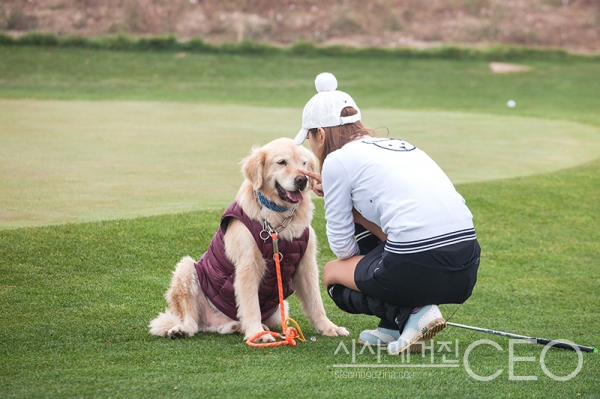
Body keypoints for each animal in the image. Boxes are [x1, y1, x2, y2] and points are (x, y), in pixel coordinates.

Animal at [149, 138, 346, 344]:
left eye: (304, 163)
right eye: (282, 162)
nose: (302, 180)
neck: (278, 220)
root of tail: (214, 323)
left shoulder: (306, 264)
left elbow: (316, 302)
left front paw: (329, 327)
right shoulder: (248, 264)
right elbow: (251, 305)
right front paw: (257, 333)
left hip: (279, 310)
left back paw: (242, 327)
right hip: (186, 268)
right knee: (192, 322)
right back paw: (182, 330)